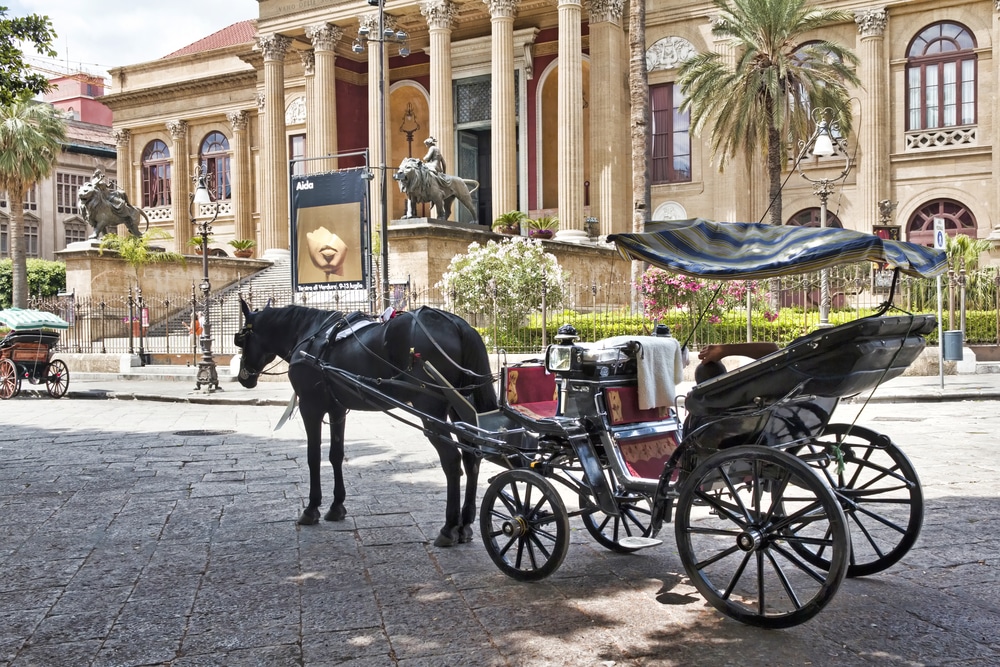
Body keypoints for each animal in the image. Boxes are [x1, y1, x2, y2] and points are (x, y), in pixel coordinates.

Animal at [235, 300, 500, 544]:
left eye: (241, 339)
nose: (243, 378)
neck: (310, 334)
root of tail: (457, 323)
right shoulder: (337, 409)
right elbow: (336, 455)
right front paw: (336, 506)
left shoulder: (310, 408)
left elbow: (313, 457)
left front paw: (311, 509)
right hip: (461, 408)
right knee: (471, 457)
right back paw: (465, 524)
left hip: (430, 410)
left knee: (452, 460)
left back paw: (449, 527)